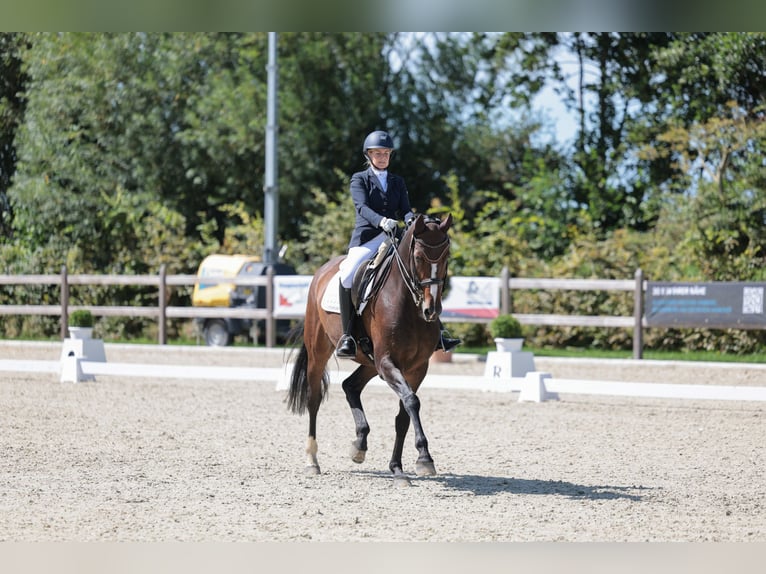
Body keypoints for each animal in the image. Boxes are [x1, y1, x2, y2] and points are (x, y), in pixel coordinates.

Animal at [288, 214, 456, 488]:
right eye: (419, 257)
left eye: (446, 256)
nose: (432, 310)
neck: (408, 304)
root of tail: (323, 270)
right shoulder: (387, 361)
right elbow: (411, 401)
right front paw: (424, 456)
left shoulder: (417, 367)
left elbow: (404, 414)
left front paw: (400, 468)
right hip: (320, 352)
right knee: (314, 399)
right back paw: (312, 461)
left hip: (370, 363)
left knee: (350, 386)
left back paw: (359, 445)